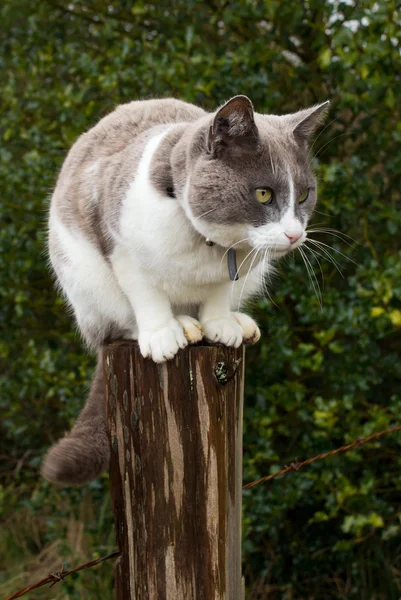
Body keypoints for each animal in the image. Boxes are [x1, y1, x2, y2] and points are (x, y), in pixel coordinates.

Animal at [41, 95, 328, 488]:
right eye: (263, 194)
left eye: (303, 196)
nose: (295, 234)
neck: (205, 243)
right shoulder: (119, 243)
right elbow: (145, 293)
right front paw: (163, 334)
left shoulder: (236, 266)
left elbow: (219, 289)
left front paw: (221, 325)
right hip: (82, 278)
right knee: (114, 326)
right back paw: (181, 327)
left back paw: (235, 323)